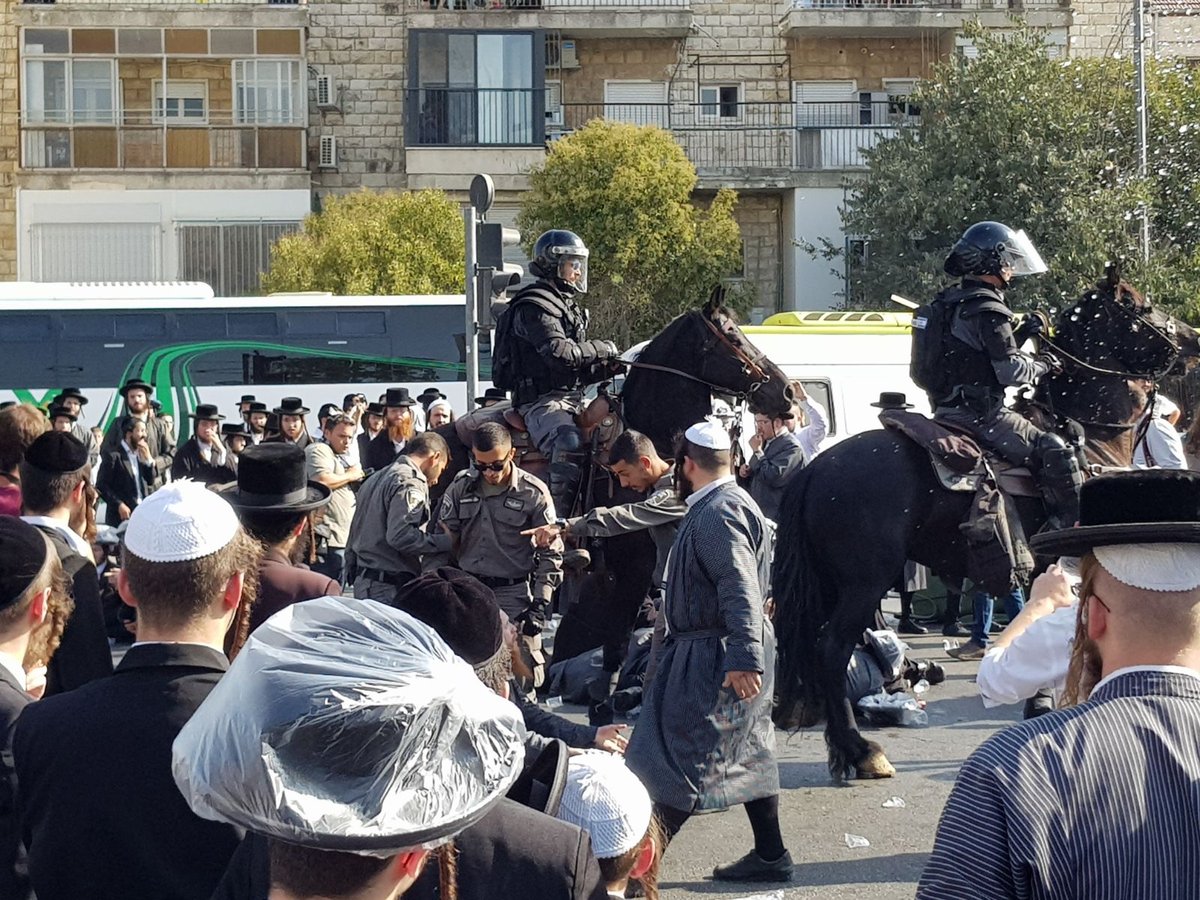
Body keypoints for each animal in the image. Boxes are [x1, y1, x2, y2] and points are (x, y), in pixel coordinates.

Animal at [768, 278, 1200, 787]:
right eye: (1140, 307)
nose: (1192, 339)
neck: (1094, 438)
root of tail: (815, 468)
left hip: (832, 584)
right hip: (863, 582)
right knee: (832, 651)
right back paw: (861, 751)